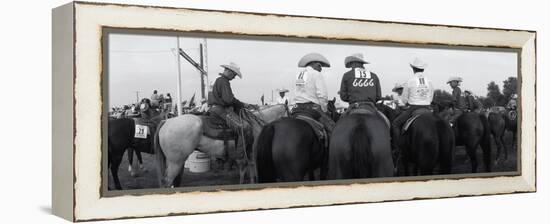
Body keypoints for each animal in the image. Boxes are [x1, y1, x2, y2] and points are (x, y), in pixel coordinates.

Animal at [152, 104, 286, 187]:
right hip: (175, 162)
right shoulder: (252, 155)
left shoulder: (248, 156)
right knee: (167, 181)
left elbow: (246, 172)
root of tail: (166, 121)